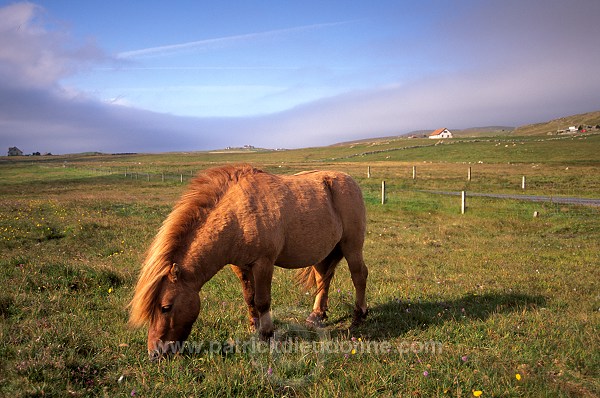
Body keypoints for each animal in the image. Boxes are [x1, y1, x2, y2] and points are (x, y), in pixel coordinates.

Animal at [129, 163, 368, 360]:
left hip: (352, 246)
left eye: (165, 307)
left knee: (359, 275)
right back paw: (316, 315)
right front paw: (254, 327)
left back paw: (359, 316)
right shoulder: (241, 266)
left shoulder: (263, 263)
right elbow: (249, 298)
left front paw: (267, 334)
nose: (155, 354)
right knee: (323, 279)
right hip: (321, 253)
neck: (236, 215)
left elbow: (262, 301)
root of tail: (349, 180)